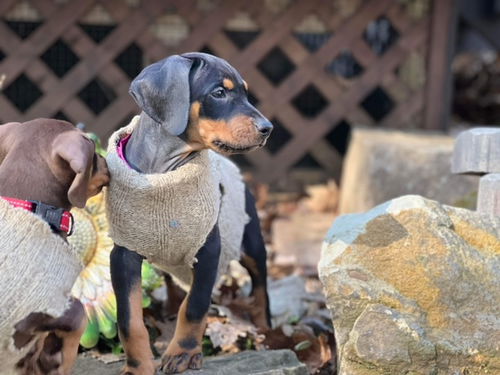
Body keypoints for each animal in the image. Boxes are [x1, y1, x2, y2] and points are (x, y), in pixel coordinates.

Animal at [0, 119, 109, 374]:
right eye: (94, 153)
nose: (106, 159)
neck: (30, 208)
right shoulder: (41, 306)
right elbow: (78, 317)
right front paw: (59, 360)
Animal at [106, 52, 274, 374]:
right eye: (219, 93)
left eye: (246, 93)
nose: (268, 128)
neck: (164, 173)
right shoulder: (123, 253)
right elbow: (129, 319)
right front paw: (138, 365)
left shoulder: (209, 248)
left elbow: (195, 305)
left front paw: (182, 353)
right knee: (171, 282)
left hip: (252, 241)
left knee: (260, 286)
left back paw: (265, 329)